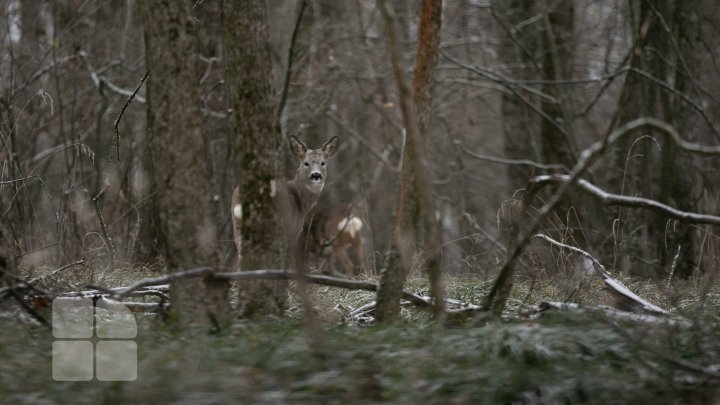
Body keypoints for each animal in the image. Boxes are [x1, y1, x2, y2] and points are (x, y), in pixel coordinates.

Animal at [232, 134, 342, 264]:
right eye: (306, 163)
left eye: (323, 163)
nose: (316, 175)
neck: (301, 202)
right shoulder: (293, 229)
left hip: (237, 227)